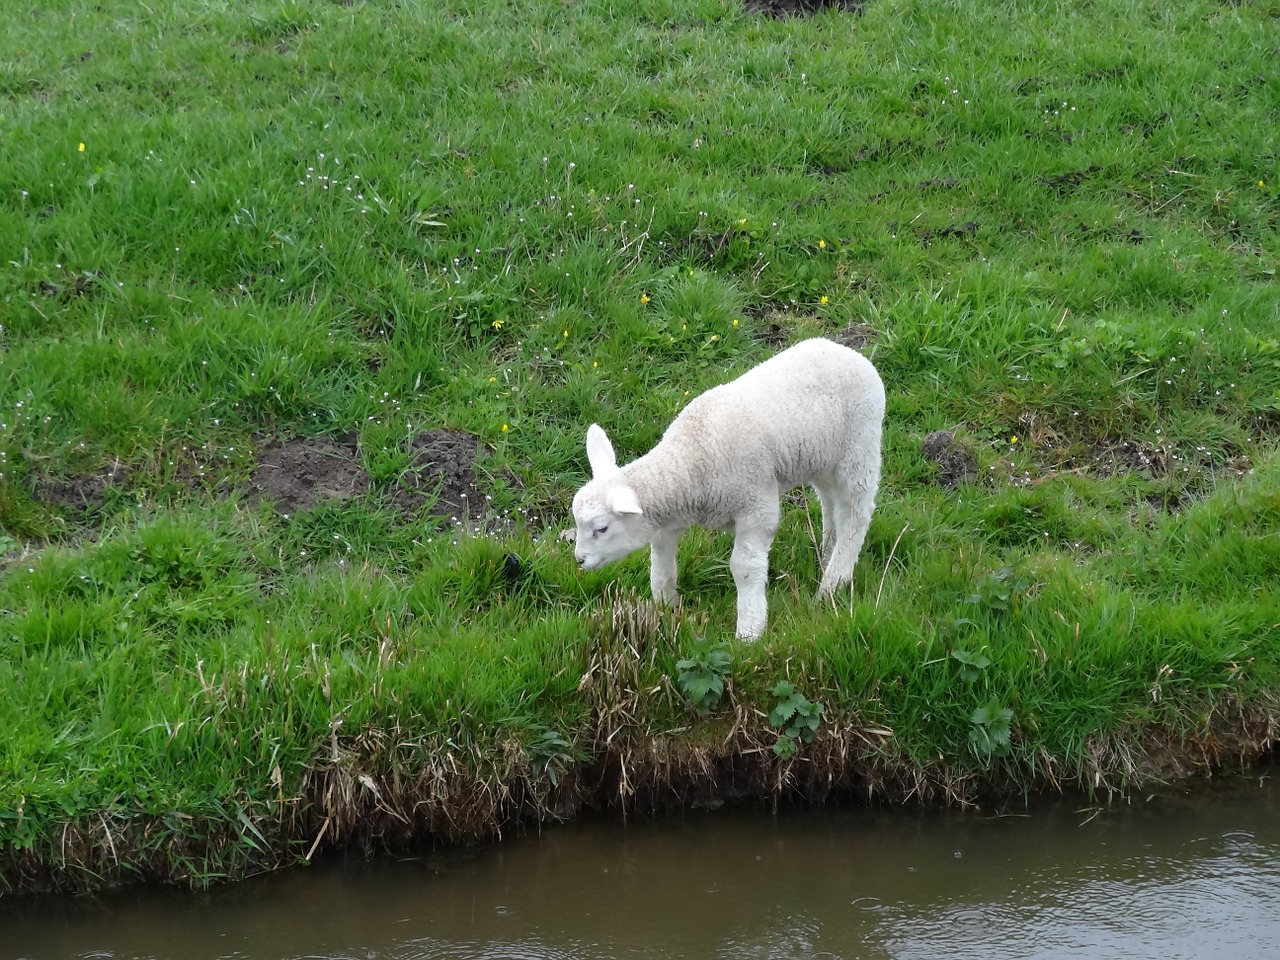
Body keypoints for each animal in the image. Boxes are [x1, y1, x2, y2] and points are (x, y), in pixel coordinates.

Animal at [573, 337, 885, 640]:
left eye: (601, 528)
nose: (579, 560)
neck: (690, 459)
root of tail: (848, 352)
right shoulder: (671, 517)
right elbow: (661, 558)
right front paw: (665, 605)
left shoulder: (756, 506)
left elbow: (744, 567)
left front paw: (749, 631)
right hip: (821, 458)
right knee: (832, 504)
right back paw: (827, 552)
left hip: (859, 450)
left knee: (855, 513)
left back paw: (833, 582)